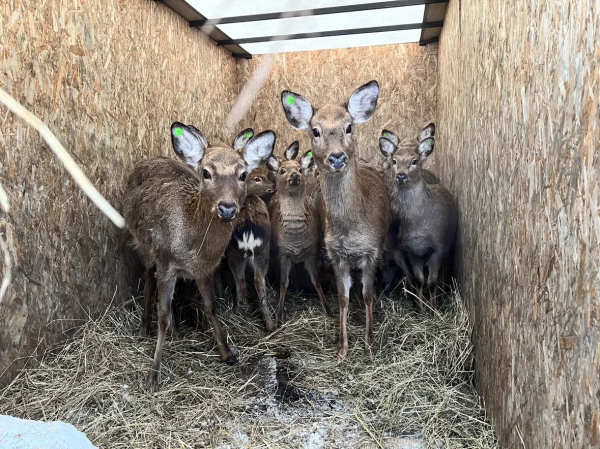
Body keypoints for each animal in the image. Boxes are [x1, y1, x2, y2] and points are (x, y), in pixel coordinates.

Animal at [123, 122, 275, 391]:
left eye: (242, 174)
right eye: (206, 172)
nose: (227, 207)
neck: (193, 248)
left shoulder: (206, 270)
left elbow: (211, 307)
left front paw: (227, 352)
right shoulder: (166, 263)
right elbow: (162, 316)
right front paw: (153, 376)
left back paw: (175, 332)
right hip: (143, 245)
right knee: (148, 276)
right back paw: (144, 327)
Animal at [268, 141, 332, 326]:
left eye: (300, 169)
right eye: (282, 170)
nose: (295, 175)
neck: (295, 240)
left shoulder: (312, 252)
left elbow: (316, 281)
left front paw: (328, 310)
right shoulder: (282, 253)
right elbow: (283, 283)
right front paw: (278, 316)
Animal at [281, 80, 391, 360]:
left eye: (349, 126)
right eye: (315, 130)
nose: (337, 157)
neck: (351, 231)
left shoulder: (372, 250)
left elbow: (368, 294)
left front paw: (369, 342)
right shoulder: (335, 254)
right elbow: (343, 297)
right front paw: (342, 347)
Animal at [379, 134, 458, 312]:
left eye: (414, 160)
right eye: (394, 160)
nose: (401, 175)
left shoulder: (438, 247)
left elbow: (432, 281)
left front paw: (433, 310)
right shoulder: (411, 250)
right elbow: (419, 279)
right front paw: (420, 308)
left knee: (446, 270)